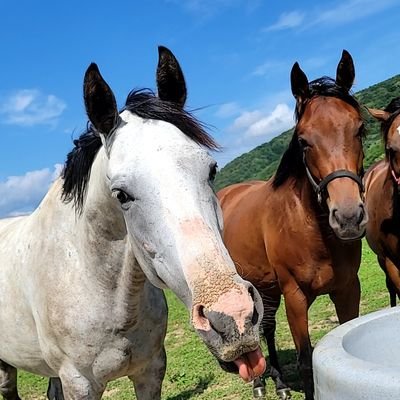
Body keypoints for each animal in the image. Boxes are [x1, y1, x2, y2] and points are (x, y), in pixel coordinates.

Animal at [217, 50, 368, 400]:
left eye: (360, 129)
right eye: (303, 141)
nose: (348, 217)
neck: (313, 230)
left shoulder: (347, 289)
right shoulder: (296, 297)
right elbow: (305, 361)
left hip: (267, 287)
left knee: (268, 326)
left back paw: (279, 382)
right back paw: (260, 383)